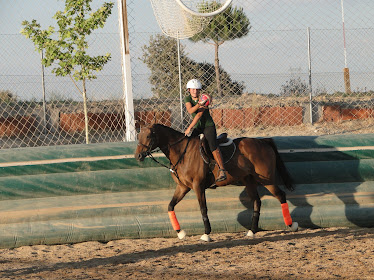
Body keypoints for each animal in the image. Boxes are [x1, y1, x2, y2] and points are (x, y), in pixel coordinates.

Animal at [134, 123, 298, 242]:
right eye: (138, 136)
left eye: (148, 136)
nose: (138, 156)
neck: (182, 152)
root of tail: (262, 141)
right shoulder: (183, 187)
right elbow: (170, 206)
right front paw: (180, 233)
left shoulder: (198, 187)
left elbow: (203, 209)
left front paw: (206, 234)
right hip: (249, 180)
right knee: (257, 201)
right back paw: (252, 231)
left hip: (266, 180)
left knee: (281, 195)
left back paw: (292, 225)